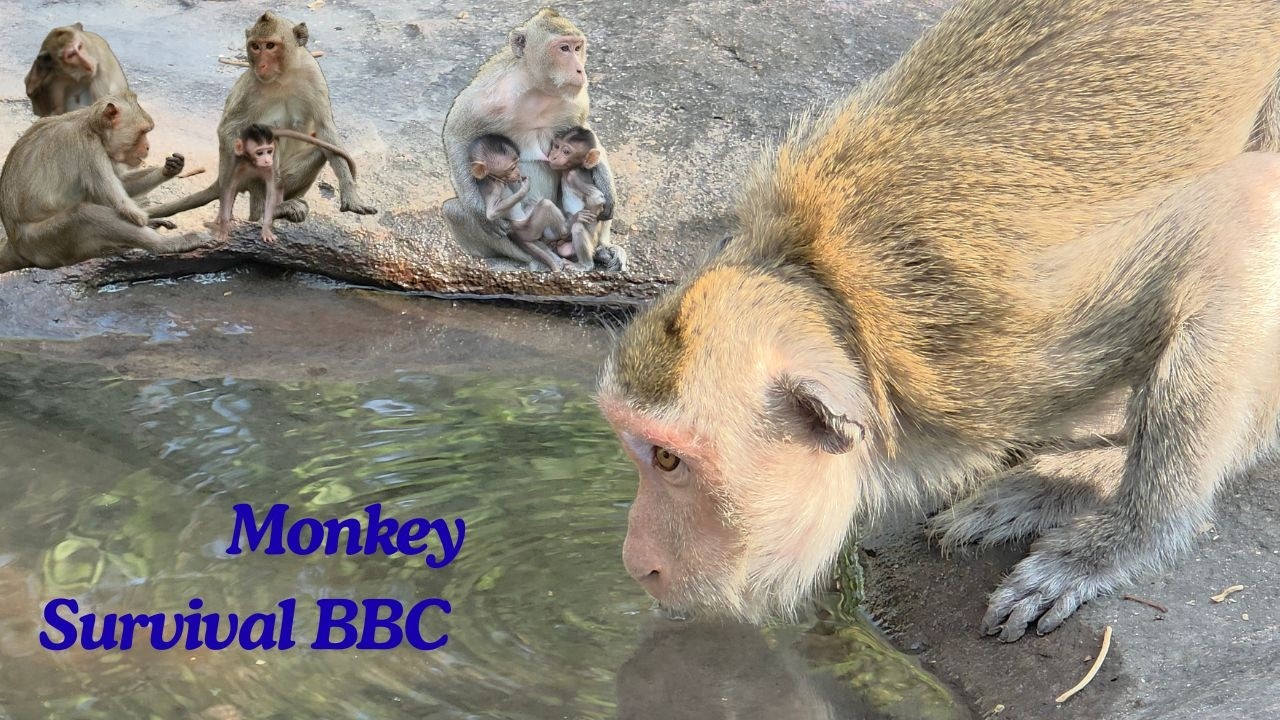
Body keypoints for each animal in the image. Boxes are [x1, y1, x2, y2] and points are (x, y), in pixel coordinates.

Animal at [0, 94, 209, 272]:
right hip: (43, 243)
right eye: (143, 131)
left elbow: (124, 184)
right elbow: (127, 211)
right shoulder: (90, 150)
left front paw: (169, 169)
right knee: (85, 214)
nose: (148, 147)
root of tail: (15, 245)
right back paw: (167, 244)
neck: (92, 127)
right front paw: (146, 222)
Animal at [144, 11, 375, 224]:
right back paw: (265, 212)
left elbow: (326, 131)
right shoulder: (251, 85)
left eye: (270, 45)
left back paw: (285, 203)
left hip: (286, 177)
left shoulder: (313, 75)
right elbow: (229, 129)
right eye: (255, 46)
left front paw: (351, 195)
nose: (261, 65)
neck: (283, 76)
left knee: (318, 149)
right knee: (266, 141)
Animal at [467, 134, 571, 271]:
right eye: (512, 167)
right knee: (546, 205)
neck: (492, 178)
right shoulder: (494, 187)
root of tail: (513, 232)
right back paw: (565, 233)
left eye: (517, 164)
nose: (518, 172)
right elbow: (491, 213)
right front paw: (524, 187)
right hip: (527, 229)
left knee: (534, 205)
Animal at [547, 126, 607, 271]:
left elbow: (597, 198)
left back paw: (584, 265)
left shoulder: (574, 177)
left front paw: (575, 220)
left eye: (566, 151)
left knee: (578, 227)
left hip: (591, 244)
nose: (554, 156)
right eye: (556, 146)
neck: (571, 169)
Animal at [597, 0, 1280, 643]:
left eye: (668, 460)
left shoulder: (994, 358)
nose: (635, 563)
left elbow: (1236, 222)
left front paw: (1111, 547)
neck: (842, 308)